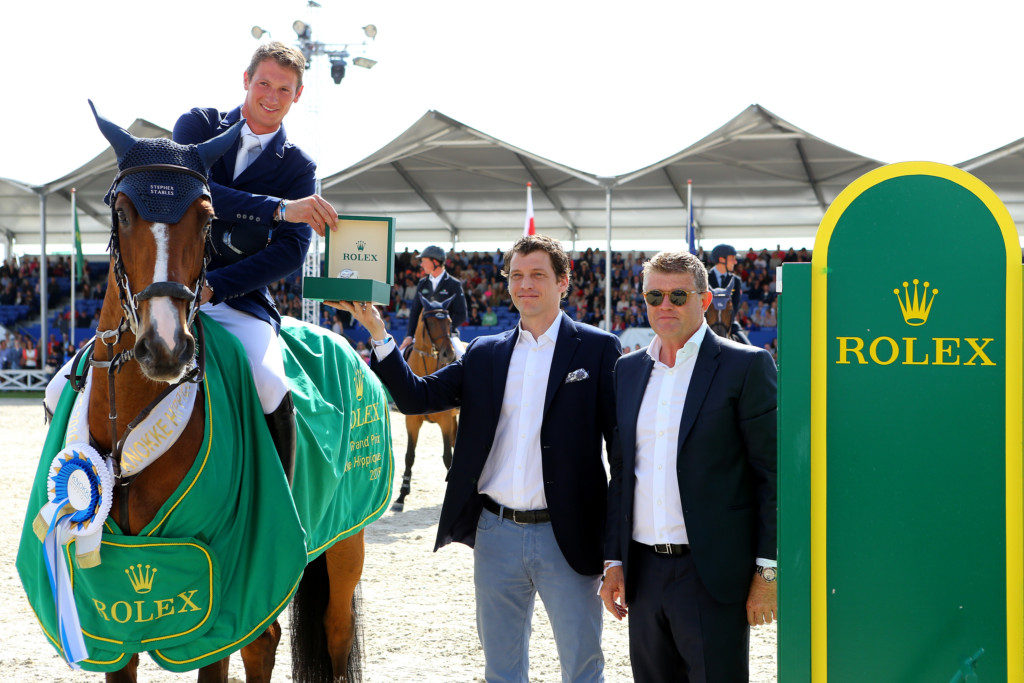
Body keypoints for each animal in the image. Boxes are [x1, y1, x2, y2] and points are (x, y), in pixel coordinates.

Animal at [17, 105, 376, 683]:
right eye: (121, 214)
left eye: (207, 220)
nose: (165, 347)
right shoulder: (109, 599)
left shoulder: (223, 584)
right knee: (265, 641)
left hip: (344, 539)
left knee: (328, 632)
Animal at [391, 294, 464, 511]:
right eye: (430, 322)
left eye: (449, 322)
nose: (448, 354)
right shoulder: (412, 422)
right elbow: (409, 455)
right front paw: (401, 495)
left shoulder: (445, 422)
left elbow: (447, 457)